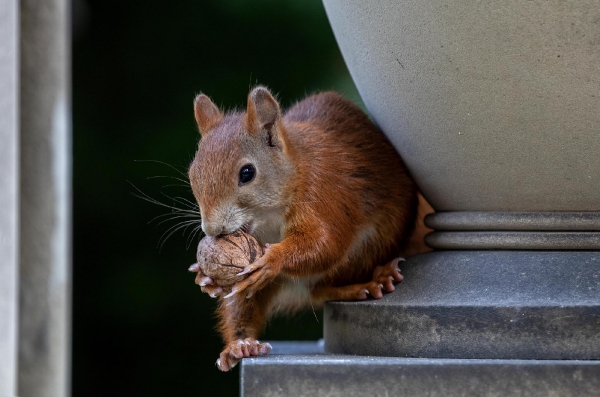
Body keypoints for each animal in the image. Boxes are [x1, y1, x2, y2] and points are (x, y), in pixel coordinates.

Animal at [188, 86, 432, 372]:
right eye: (193, 174)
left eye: (247, 173)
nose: (213, 230)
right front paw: (204, 276)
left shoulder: (323, 193)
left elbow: (325, 244)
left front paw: (273, 259)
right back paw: (241, 344)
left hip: (368, 248)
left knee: (322, 288)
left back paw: (368, 282)